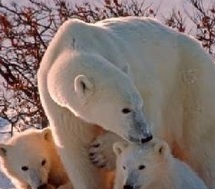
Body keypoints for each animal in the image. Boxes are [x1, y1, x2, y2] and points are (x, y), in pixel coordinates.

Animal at [37, 16, 215, 189]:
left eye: (139, 105)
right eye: (125, 110)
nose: (146, 136)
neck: (73, 45)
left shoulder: (131, 68)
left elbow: (152, 108)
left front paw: (102, 153)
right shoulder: (62, 110)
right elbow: (78, 153)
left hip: (191, 83)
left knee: (201, 145)